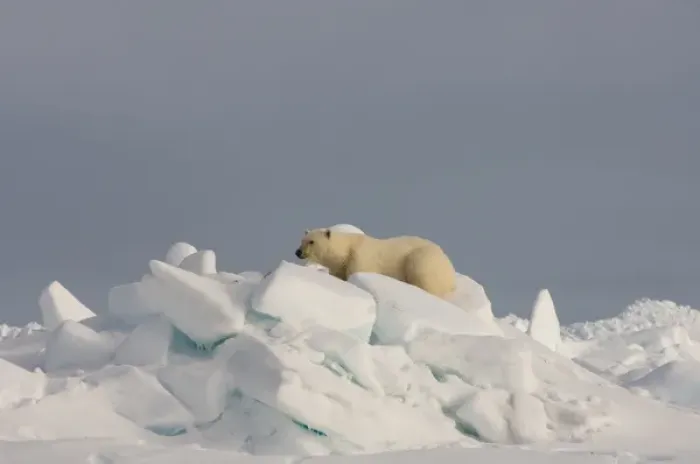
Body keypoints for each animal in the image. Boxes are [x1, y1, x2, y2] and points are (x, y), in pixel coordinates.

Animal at [294, 228, 457, 298]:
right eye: (302, 240)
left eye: (311, 241)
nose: (298, 252)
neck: (346, 250)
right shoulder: (340, 267)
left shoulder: (360, 258)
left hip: (424, 259)